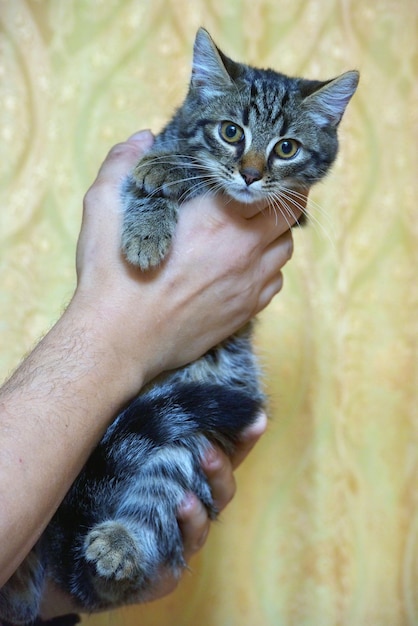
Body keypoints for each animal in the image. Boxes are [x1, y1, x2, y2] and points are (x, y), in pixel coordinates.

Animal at [0, 26, 360, 620]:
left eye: (286, 148)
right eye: (231, 132)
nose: (251, 174)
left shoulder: (292, 209)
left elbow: (210, 184)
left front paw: (173, 178)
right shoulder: (142, 149)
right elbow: (158, 173)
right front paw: (159, 188)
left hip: (188, 432)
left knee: (156, 493)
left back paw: (118, 546)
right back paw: (23, 576)